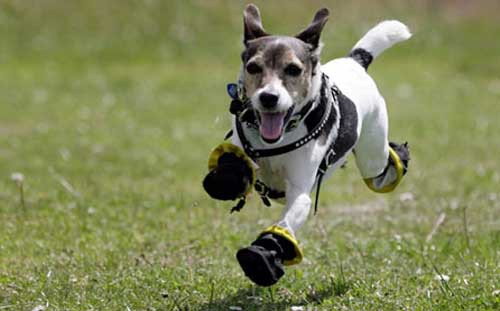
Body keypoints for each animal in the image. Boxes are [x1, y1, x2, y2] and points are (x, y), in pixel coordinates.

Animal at [202, 4, 410, 288]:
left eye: (292, 69)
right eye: (253, 67)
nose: (268, 97)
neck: (278, 138)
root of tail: (354, 61)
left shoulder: (299, 191)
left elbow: (286, 222)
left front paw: (261, 257)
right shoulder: (241, 149)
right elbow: (234, 167)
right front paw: (227, 179)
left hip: (373, 155)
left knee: (380, 166)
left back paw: (401, 154)